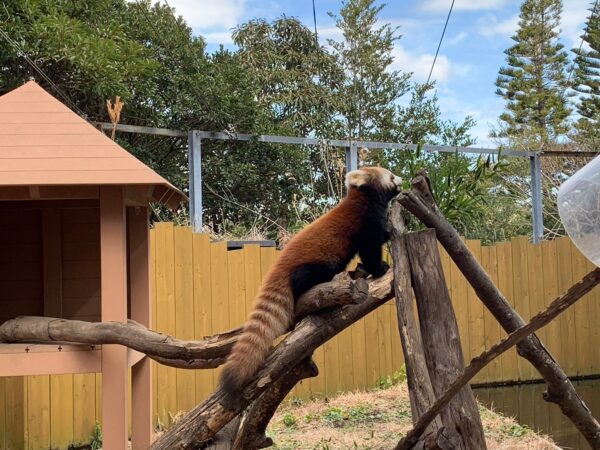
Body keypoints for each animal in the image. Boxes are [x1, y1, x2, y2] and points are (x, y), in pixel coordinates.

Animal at [218, 167, 400, 400]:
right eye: (391, 176)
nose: (401, 180)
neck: (364, 200)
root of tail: (278, 266)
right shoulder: (365, 224)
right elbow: (370, 251)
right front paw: (381, 268)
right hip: (309, 268)